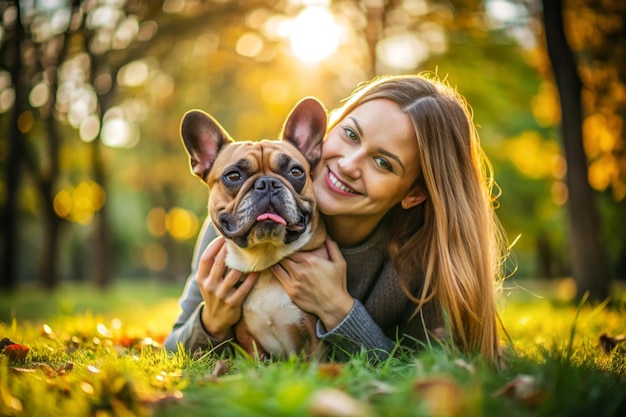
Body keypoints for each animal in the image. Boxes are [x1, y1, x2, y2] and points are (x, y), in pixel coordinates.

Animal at [178, 96, 326, 358]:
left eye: (296, 171)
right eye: (233, 176)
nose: (267, 183)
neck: (265, 262)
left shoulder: (314, 336)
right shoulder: (248, 340)